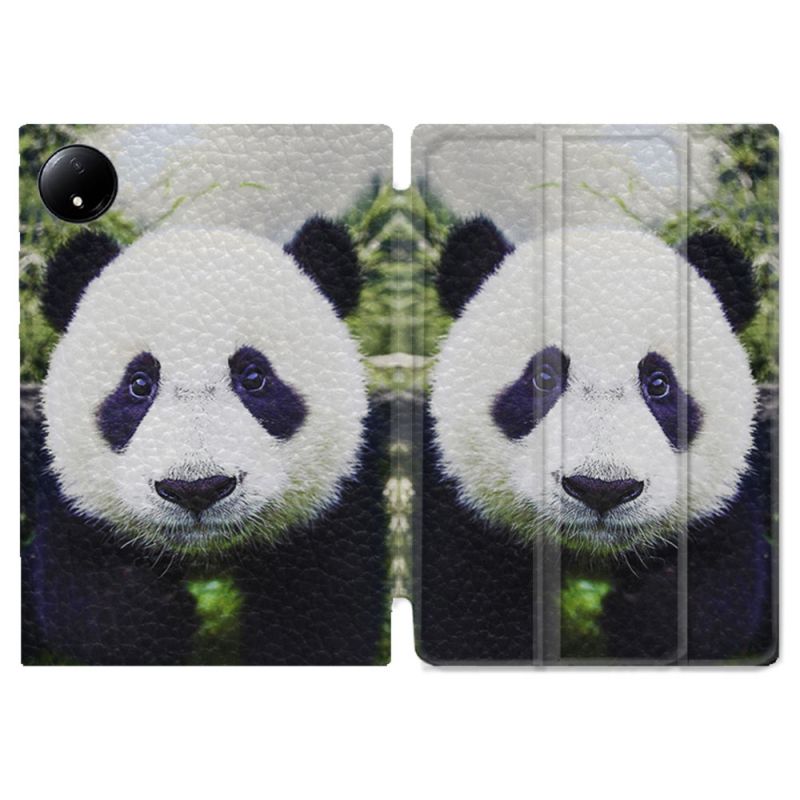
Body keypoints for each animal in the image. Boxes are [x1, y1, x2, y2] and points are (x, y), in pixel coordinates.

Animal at [23, 218, 389, 665]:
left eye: (254, 376)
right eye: (139, 383)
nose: (195, 489)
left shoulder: (336, 499)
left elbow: (321, 616)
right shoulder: (71, 500)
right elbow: (86, 603)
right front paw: (158, 617)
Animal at [417, 217, 775, 664]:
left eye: (659, 383)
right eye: (544, 376)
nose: (602, 489)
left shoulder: (724, 506)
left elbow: (719, 600)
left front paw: (641, 615)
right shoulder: (464, 506)